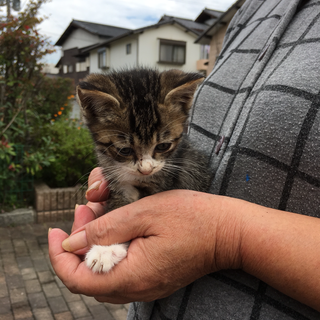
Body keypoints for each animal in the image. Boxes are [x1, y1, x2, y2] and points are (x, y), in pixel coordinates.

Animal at [75, 67, 210, 272]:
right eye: (124, 150)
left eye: (163, 146)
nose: (146, 169)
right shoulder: (118, 182)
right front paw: (106, 247)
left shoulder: (165, 181)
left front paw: (106, 250)